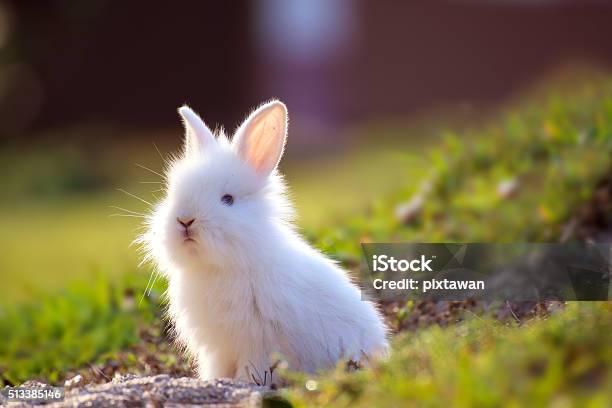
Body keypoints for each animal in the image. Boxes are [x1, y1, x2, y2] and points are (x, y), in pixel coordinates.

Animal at [139, 99, 388, 382]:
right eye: (173, 194)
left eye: (228, 199)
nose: (185, 220)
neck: (221, 266)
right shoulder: (218, 350)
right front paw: (214, 381)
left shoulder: (259, 341)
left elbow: (253, 369)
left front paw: (244, 383)